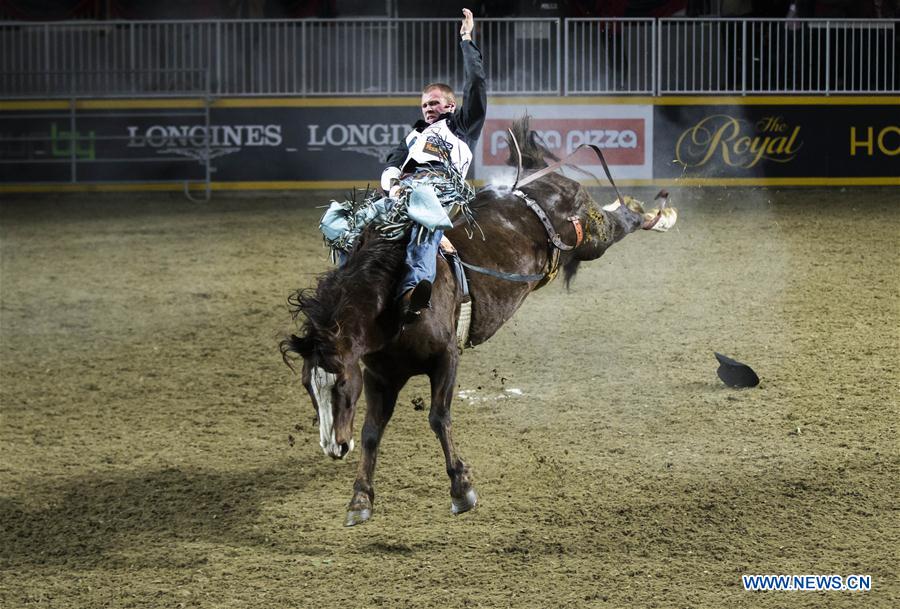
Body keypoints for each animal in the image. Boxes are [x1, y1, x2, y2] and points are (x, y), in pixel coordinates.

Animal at [282, 116, 676, 524]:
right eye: (308, 386)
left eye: (341, 383)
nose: (334, 447)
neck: (396, 301)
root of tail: (535, 177)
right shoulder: (380, 375)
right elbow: (372, 430)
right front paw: (360, 498)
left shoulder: (446, 357)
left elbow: (438, 418)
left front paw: (462, 488)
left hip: (591, 238)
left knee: (622, 221)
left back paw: (657, 214)